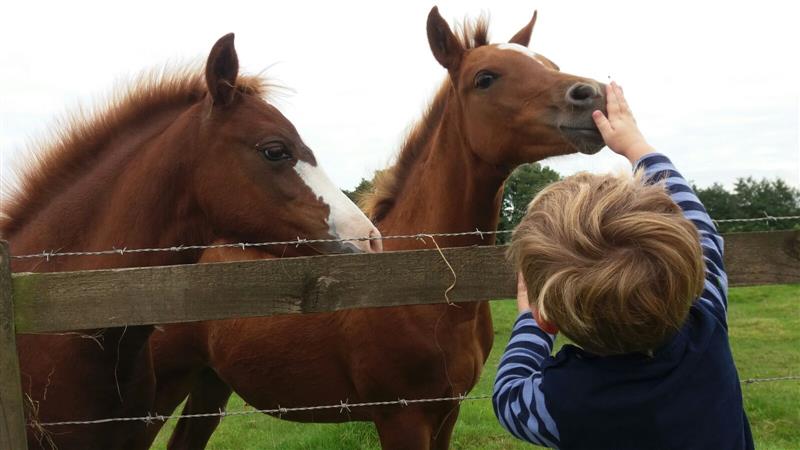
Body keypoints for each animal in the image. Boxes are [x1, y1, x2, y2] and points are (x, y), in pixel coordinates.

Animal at [145, 7, 608, 450]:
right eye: (485, 78)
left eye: (551, 64)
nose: (592, 95)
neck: (428, 290)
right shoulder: (402, 417)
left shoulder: (448, 411)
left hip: (210, 382)